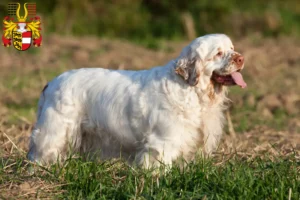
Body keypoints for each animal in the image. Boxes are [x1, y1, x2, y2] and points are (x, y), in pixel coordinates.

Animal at [27, 34, 246, 167]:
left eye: (232, 48)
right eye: (218, 53)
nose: (241, 58)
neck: (191, 90)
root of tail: (51, 83)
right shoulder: (163, 141)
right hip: (55, 132)